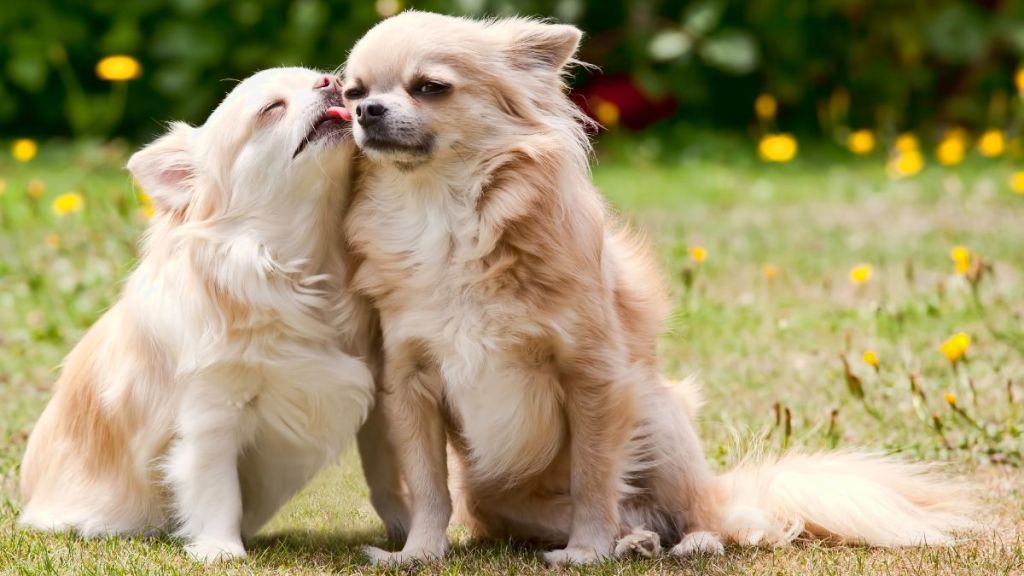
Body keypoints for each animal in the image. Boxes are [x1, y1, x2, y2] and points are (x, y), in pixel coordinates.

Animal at [19, 67, 403, 561]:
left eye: (329, 80)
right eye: (271, 109)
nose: (329, 81)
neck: (305, 267)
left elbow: (392, 478)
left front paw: (411, 534)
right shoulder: (213, 412)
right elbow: (216, 487)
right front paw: (221, 549)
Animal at [339, 11, 970, 561]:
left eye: (429, 87)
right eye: (351, 93)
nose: (367, 110)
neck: (440, 214)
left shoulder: (594, 377)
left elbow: (594, 477)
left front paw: (585, 553)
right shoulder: (411, 383)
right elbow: (428, 486)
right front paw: (419, 553)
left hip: (658, 417)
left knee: (699, 514)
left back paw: (686, 542)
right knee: (631, 517)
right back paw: (635, 541)